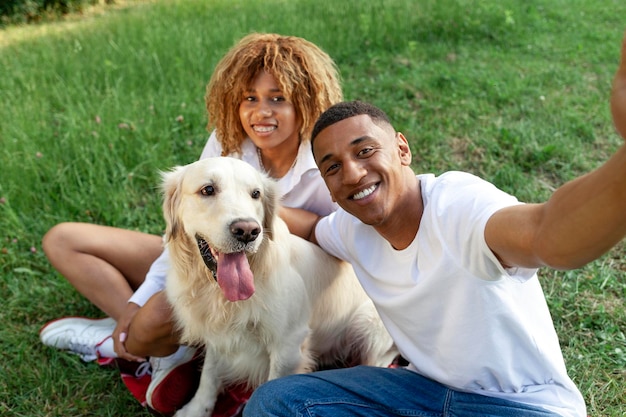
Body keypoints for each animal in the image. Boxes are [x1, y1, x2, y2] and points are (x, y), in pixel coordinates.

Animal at [161, 157, 394, 416]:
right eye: (207, 189)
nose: (248, 231)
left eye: (256, 194)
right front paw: (196, 409)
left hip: (369, 325)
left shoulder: (288, 345)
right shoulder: (217, 333)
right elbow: (209, 374)